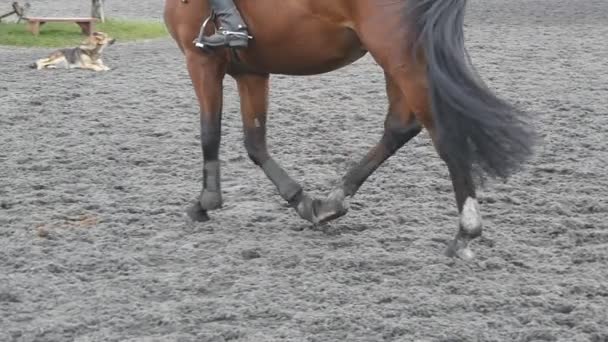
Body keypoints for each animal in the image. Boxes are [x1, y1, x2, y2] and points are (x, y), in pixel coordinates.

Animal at [164, 0, 536, 260]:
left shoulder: (201, 61)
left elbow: (209, 132)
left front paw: (205, 202)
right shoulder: (251, 72)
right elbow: (255, 142)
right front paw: (300, 200)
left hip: (398, 53)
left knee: (440, 132)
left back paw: (465, 232)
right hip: (398, 56)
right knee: (400, 126)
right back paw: (331, 203)